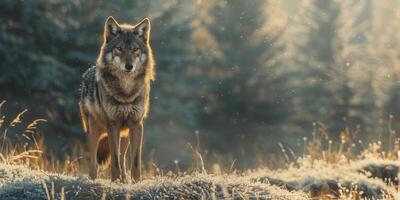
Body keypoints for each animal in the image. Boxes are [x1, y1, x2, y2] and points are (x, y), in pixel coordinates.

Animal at [78, 16, 155, 182]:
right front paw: (115, 180)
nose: (129, 66)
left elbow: (134, 161)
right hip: (94, 131)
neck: (126, 92)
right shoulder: (113, 125)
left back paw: (125, 179)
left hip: (124, 134)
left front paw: (136, 181)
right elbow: (114, 161)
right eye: (119, 48)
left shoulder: (136, 124)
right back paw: (93, 179)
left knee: (123, 158)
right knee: (93, 163)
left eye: (135, 49)